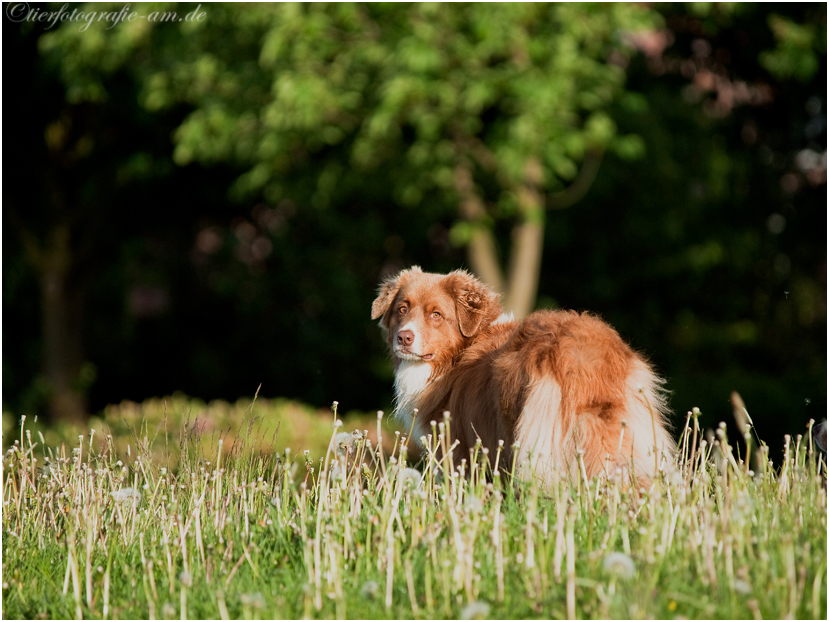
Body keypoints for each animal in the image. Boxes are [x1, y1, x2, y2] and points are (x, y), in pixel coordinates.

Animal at [372, 266, 676, 488]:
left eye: (436, 314)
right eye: (402, 309)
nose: (404, 338)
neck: (461, 350)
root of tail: (584, 353)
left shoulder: (460, 447)